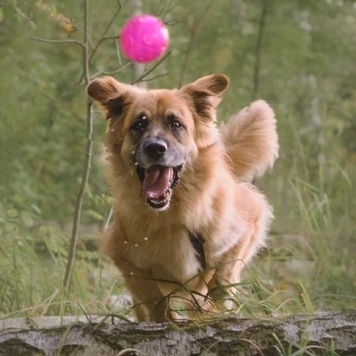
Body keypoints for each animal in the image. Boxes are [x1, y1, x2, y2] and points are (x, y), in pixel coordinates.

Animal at [86, 73, 278, 322]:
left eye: (175, 124)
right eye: (139, 124)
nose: (155, 148)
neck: (173, 214)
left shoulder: (247, 224)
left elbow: (221, 278)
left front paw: (212, 310)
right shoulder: (124, 257)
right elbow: (153, 298)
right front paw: (166, 320)